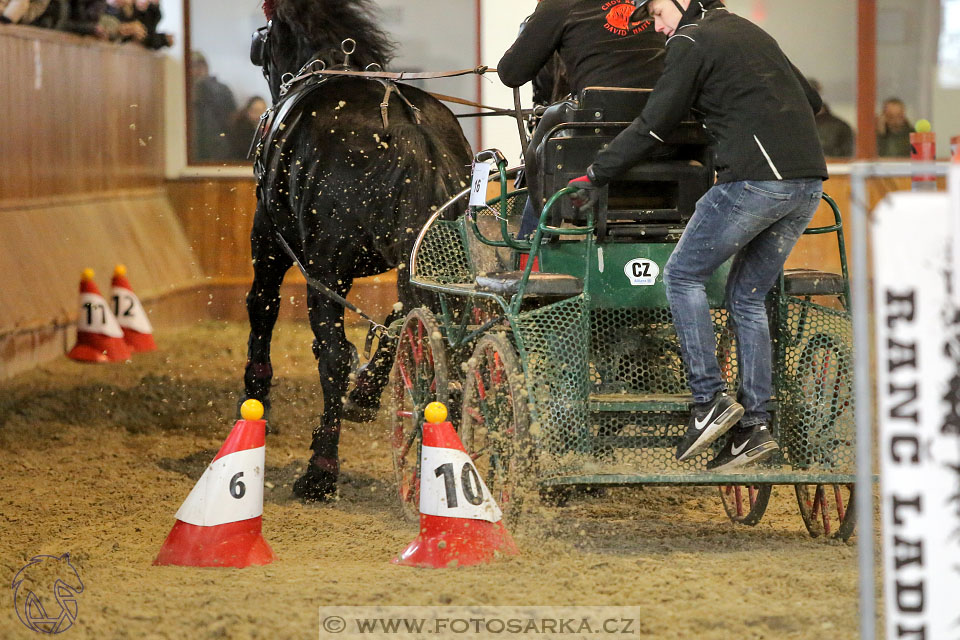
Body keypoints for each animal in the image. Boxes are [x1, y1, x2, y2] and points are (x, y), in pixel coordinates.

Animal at [248, 0, 472, 500]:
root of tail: (411, 130)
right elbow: (397, 321)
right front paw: (366, 394)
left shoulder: (270, 243)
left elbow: (262, 311)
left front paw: (255, 398)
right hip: (428, 259)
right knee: (428, 330)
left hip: (325, 270)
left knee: (332, 355)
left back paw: (321, 468)